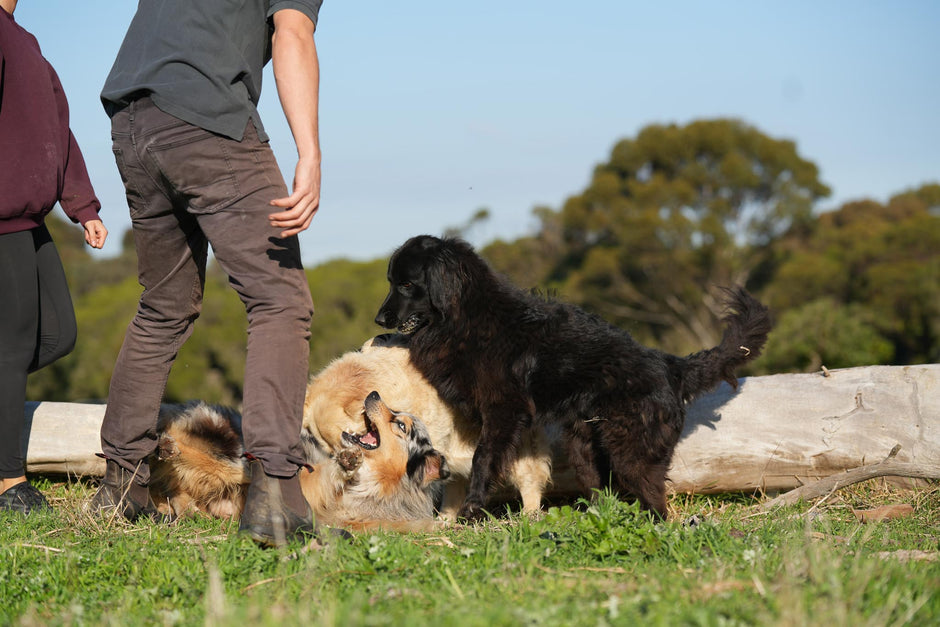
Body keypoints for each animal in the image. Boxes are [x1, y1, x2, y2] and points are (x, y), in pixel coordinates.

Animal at [149, 392, 450, 528]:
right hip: (234, 455)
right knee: (202, 464)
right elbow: (324, 475)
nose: (373, 393)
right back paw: (168, 449)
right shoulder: (307, 482)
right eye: (398, 415)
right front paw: (344, 464)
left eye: (400, 425)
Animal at [374, 236, 772, 520]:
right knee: (603, 492)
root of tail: (670, 365)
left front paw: (472, 508)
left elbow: (483, 459)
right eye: (392, 282)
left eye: (406, 284)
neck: (467, 316)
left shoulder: (505, 409)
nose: (379, 320)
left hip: (631, 452)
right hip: (585, 447)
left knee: (656, 502)